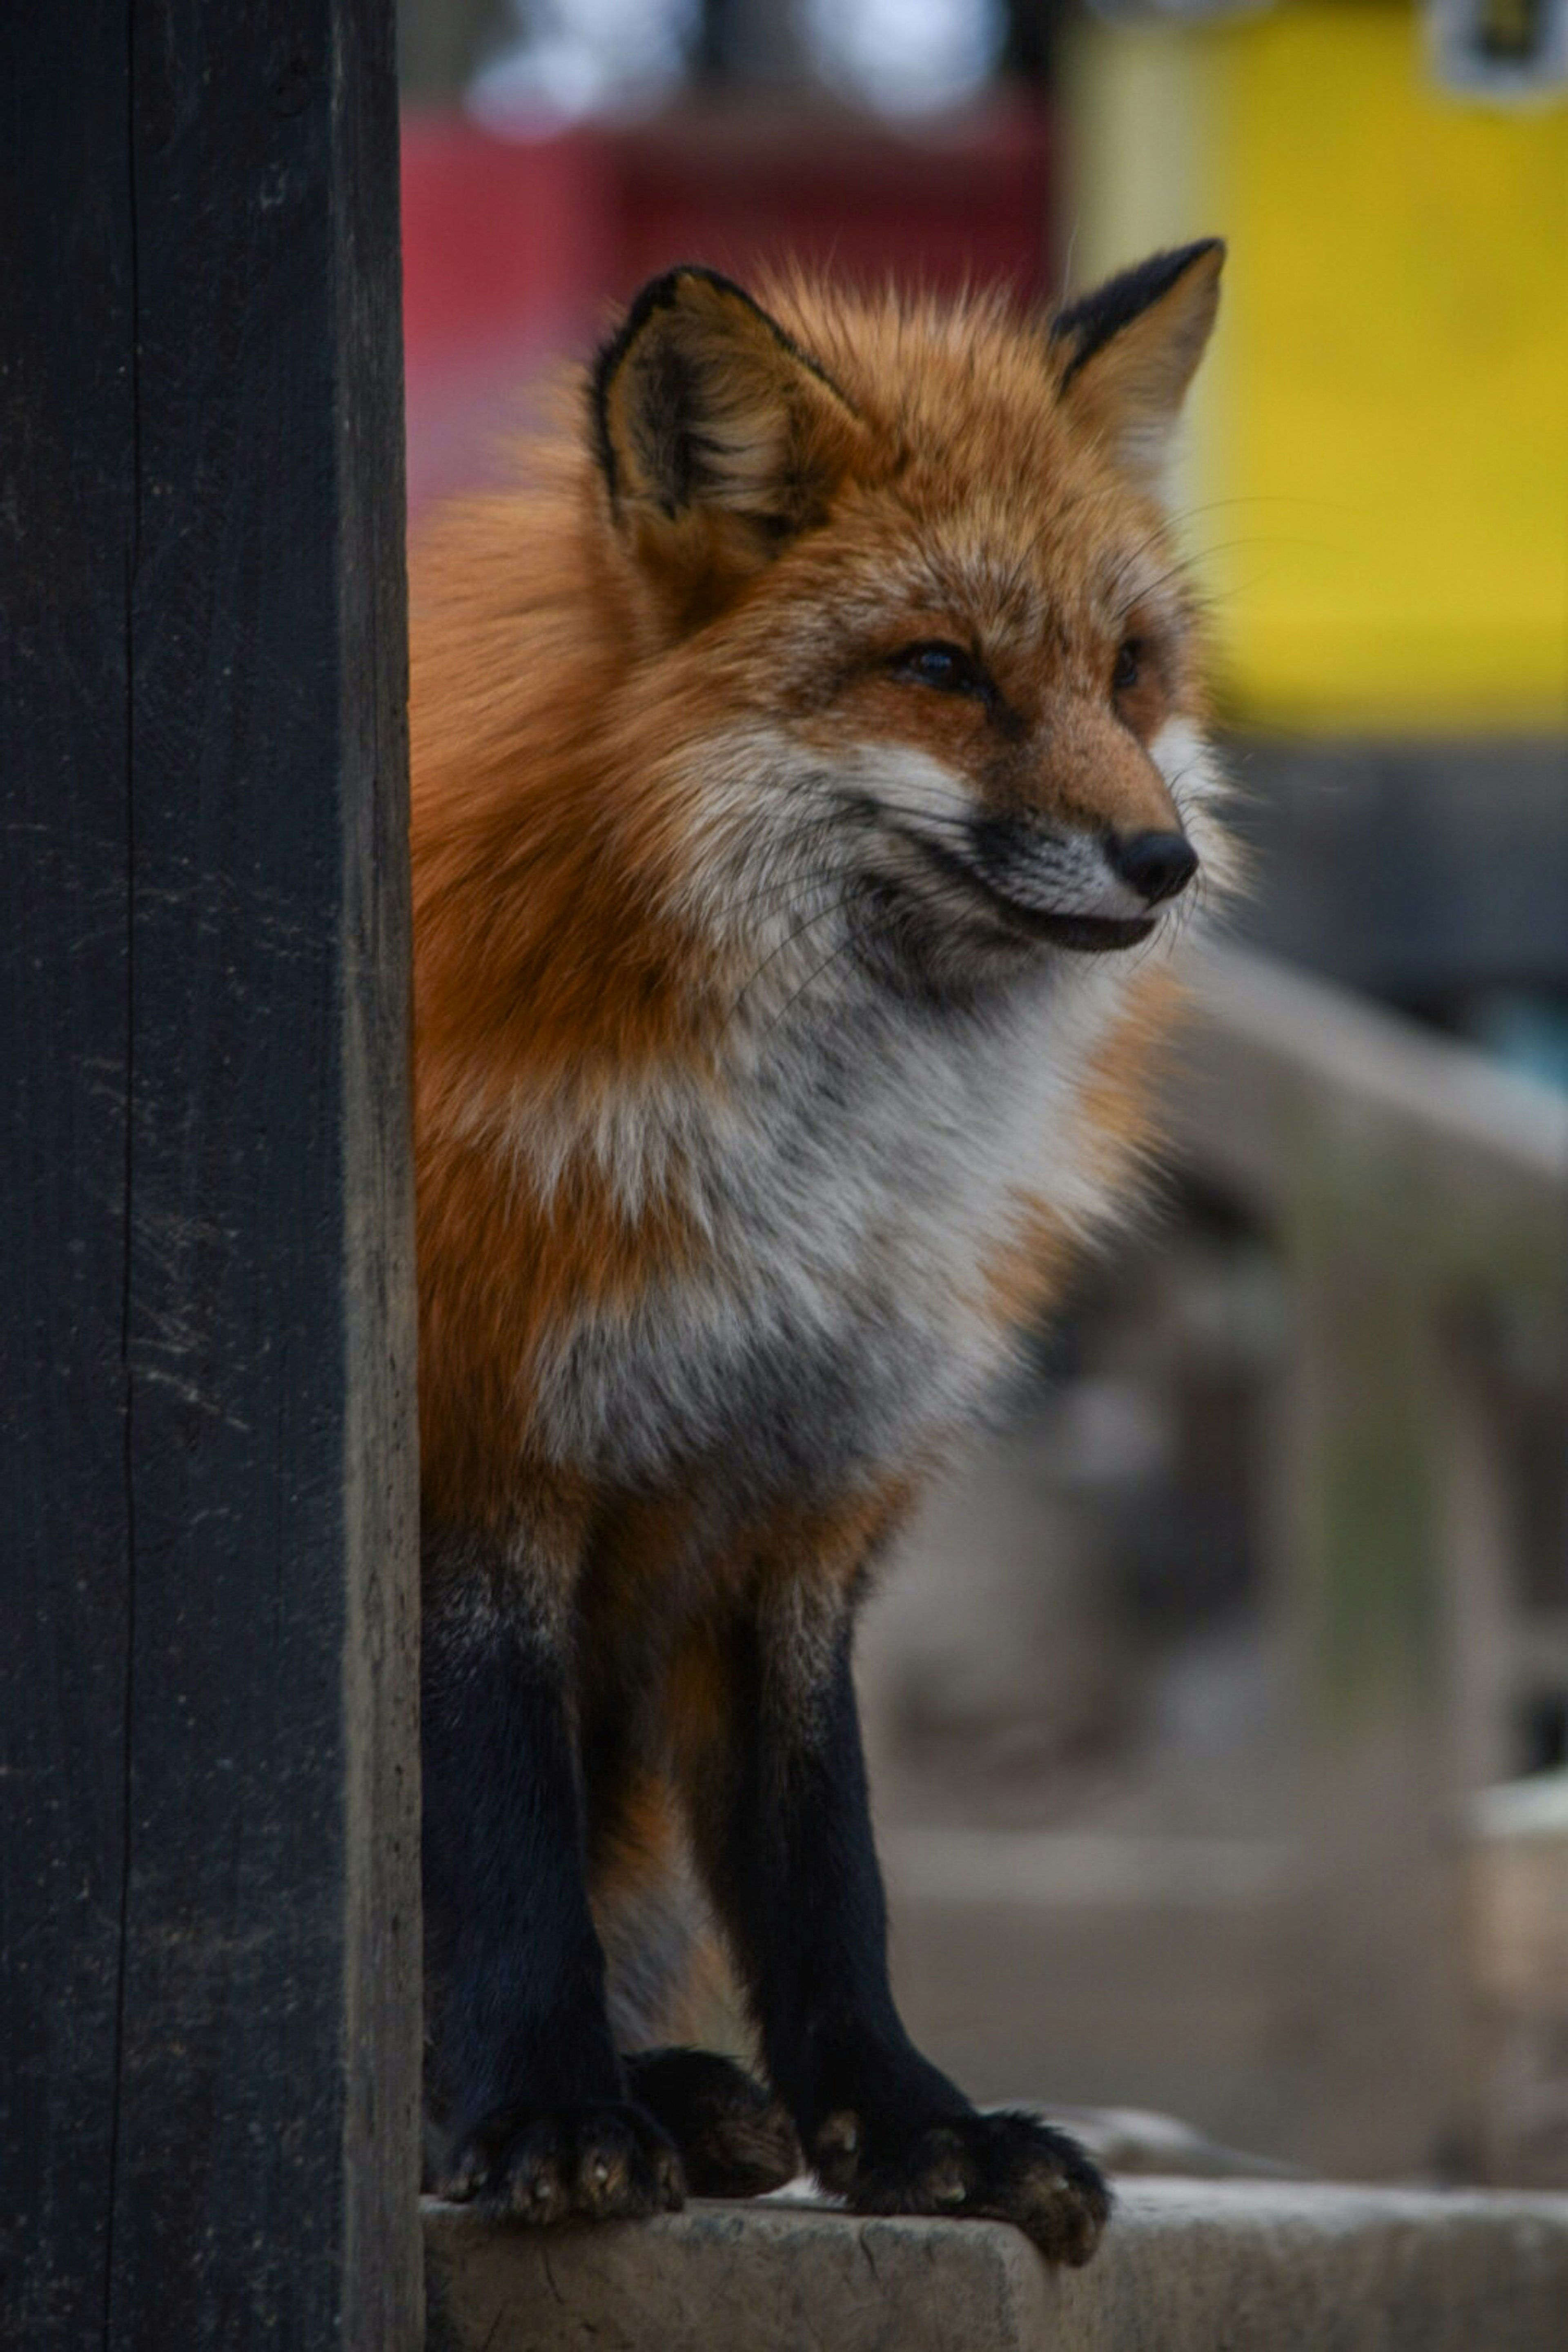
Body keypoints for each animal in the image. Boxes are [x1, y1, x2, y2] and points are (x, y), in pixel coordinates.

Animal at [411, 238, 1232, 2258]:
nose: (1162, 861)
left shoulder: (803, 1495)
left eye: (1125, 668)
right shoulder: (482, 1451)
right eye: (938, 670)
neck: (810, 1189)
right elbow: (502, 1839)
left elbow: (824, 1862)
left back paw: (693, 2095)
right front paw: (542, 2114)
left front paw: (907, 2126)